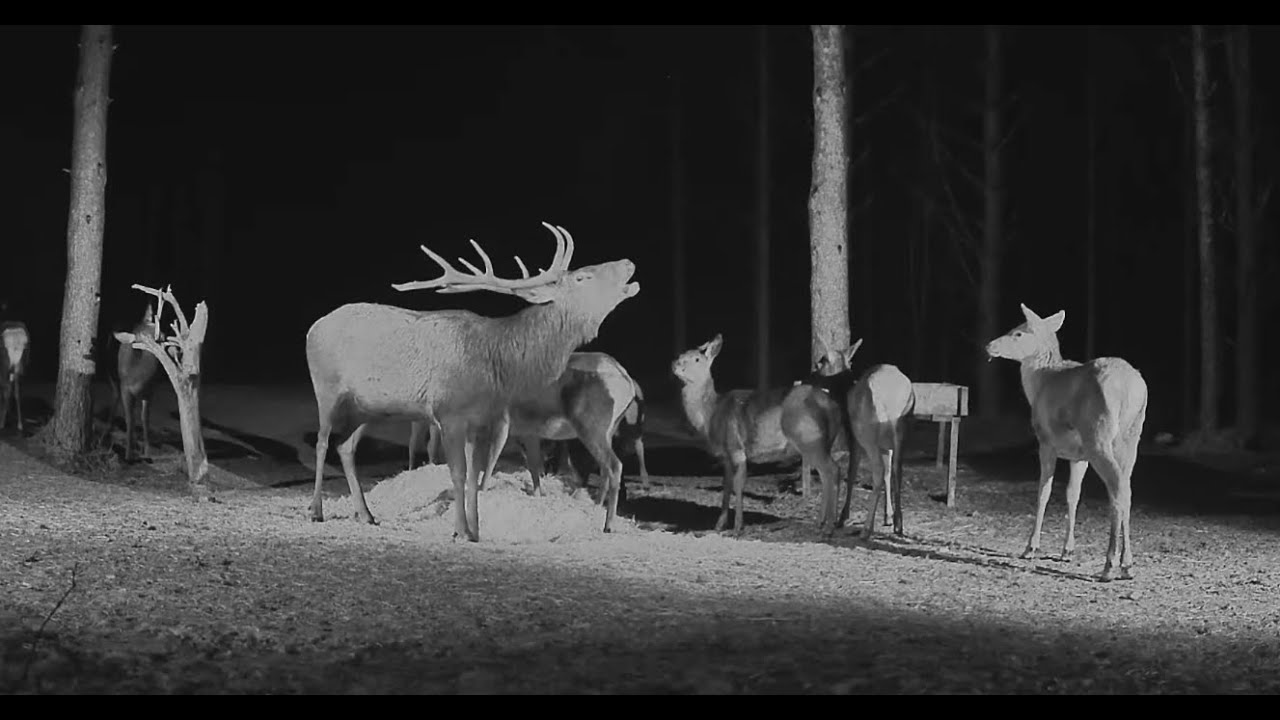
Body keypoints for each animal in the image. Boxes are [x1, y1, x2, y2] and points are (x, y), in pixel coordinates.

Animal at [112, 306, 163, 461]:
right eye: (142, 339)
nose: (161, 335)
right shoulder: (125, 389)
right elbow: (130, 419)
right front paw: (128, 455)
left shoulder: (150, 391)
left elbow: (145, 419)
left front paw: (147, 453)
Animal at [406, 351, 651, 502]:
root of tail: (623, 376)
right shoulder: (528, 436)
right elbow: (534, 467)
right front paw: (538, 495)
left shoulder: (500, 428)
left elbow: (489, 462)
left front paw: (481, 491)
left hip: (593, 435)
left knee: (613, 466)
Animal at [673, 334, 845, 536]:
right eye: (681, 355)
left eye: (697, 359)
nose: (676, 365)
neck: (711, 414)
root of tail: (834, 408)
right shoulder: (725, 455)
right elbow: (726, 486)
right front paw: (719, 525)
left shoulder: (736, 448)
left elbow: (738, 485)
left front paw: (737, 528)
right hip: (819, 443)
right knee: (827, 474)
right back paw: (820, 523)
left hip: (810, 438)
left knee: (833, 470)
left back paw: (829, 526)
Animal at [985, 303, 1148, 582]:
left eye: (1018, 332)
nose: (989, 346)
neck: (1039, 383)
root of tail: (1132, 389)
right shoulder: (1078, 455)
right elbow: (1073, 494)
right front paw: (1067, 551)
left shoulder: (1045, 441)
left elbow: (1044, 491)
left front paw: (1030, 547)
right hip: (1131, 437)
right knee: (1127, 489)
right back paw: (1127, 564)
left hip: (1098, 435)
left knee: (1117, 489)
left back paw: (1110, 565)